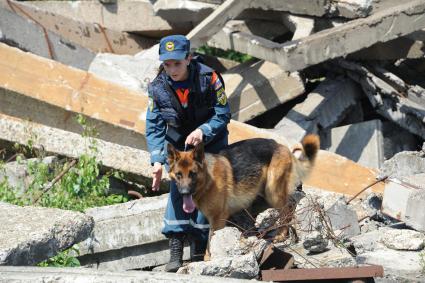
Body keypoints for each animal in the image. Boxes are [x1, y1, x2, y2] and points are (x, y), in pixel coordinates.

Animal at [166, 136, 318, 258]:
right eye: (179, 174)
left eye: (192, 174)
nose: (184, 192)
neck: (208, 178)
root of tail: (280, 145)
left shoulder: (217, 220)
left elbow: (211, 244)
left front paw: (209, 259)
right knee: (289, 204)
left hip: (272, 192)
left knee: (287, 208)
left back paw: (281, 235)